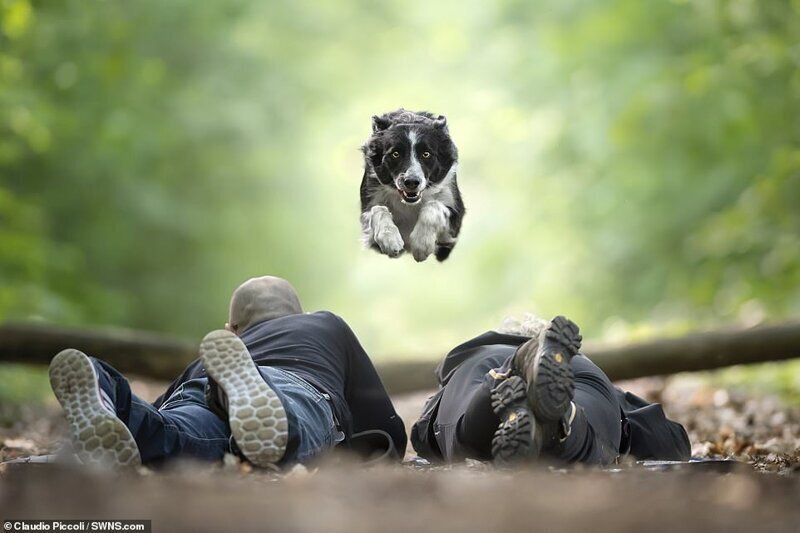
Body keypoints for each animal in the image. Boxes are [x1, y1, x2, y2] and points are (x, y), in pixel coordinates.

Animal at [360, 108, 466, 262]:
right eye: (395, 154)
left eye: (426, 154)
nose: (411, 182)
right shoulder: (370, 198)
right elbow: (378, 209)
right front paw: (390, 239)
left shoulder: (454, 212)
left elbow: (433, 205)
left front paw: (421, 244)